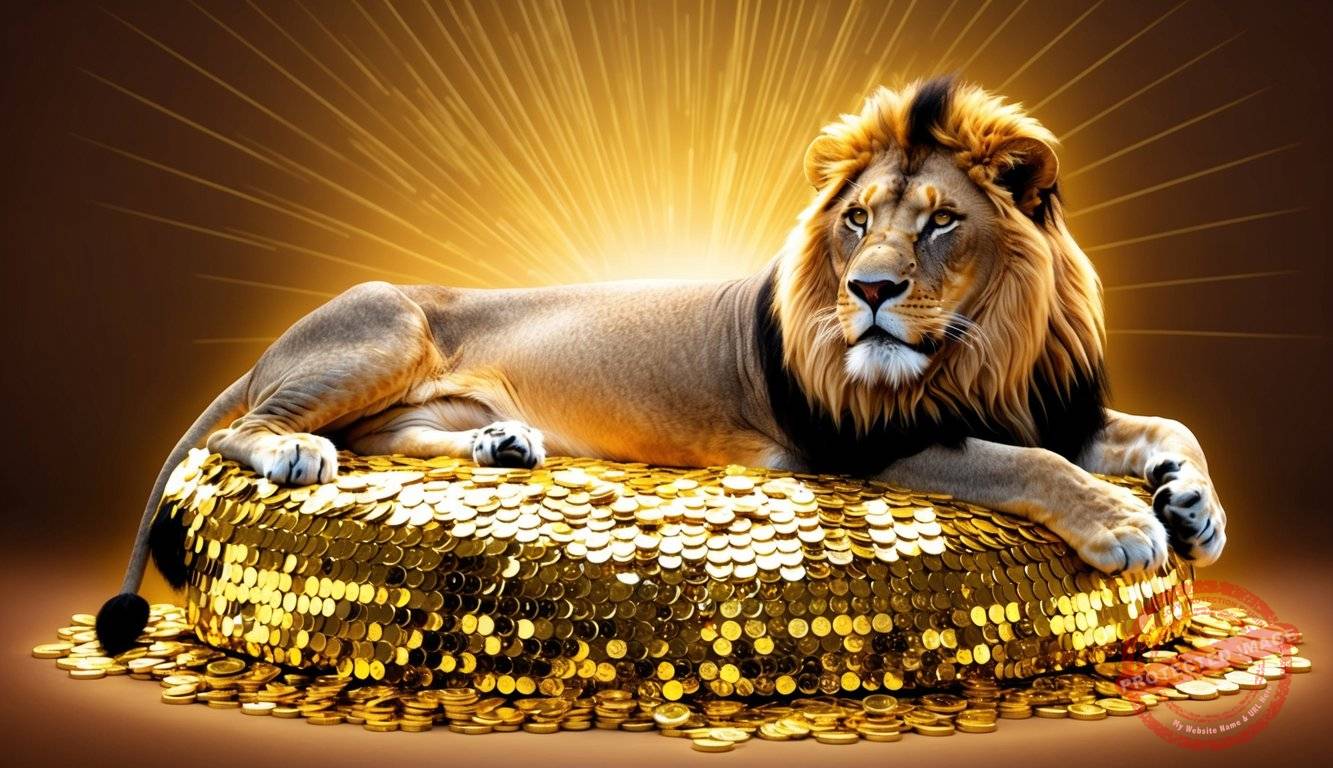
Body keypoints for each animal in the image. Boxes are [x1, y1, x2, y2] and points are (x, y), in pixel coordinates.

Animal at [96, 76, 1226, 653]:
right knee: (253, 429)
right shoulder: (860, 444)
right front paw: (1126, 521)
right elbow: (1022, 463)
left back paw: (505, 444)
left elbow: (1160, 427)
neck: (985, 345)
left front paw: (1189, 502)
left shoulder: (1047, 403)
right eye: (857, 220)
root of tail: (284, 335)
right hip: (382, 329)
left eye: (943, 220)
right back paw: (293, 457)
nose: (867, 289)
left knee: (382, 434)